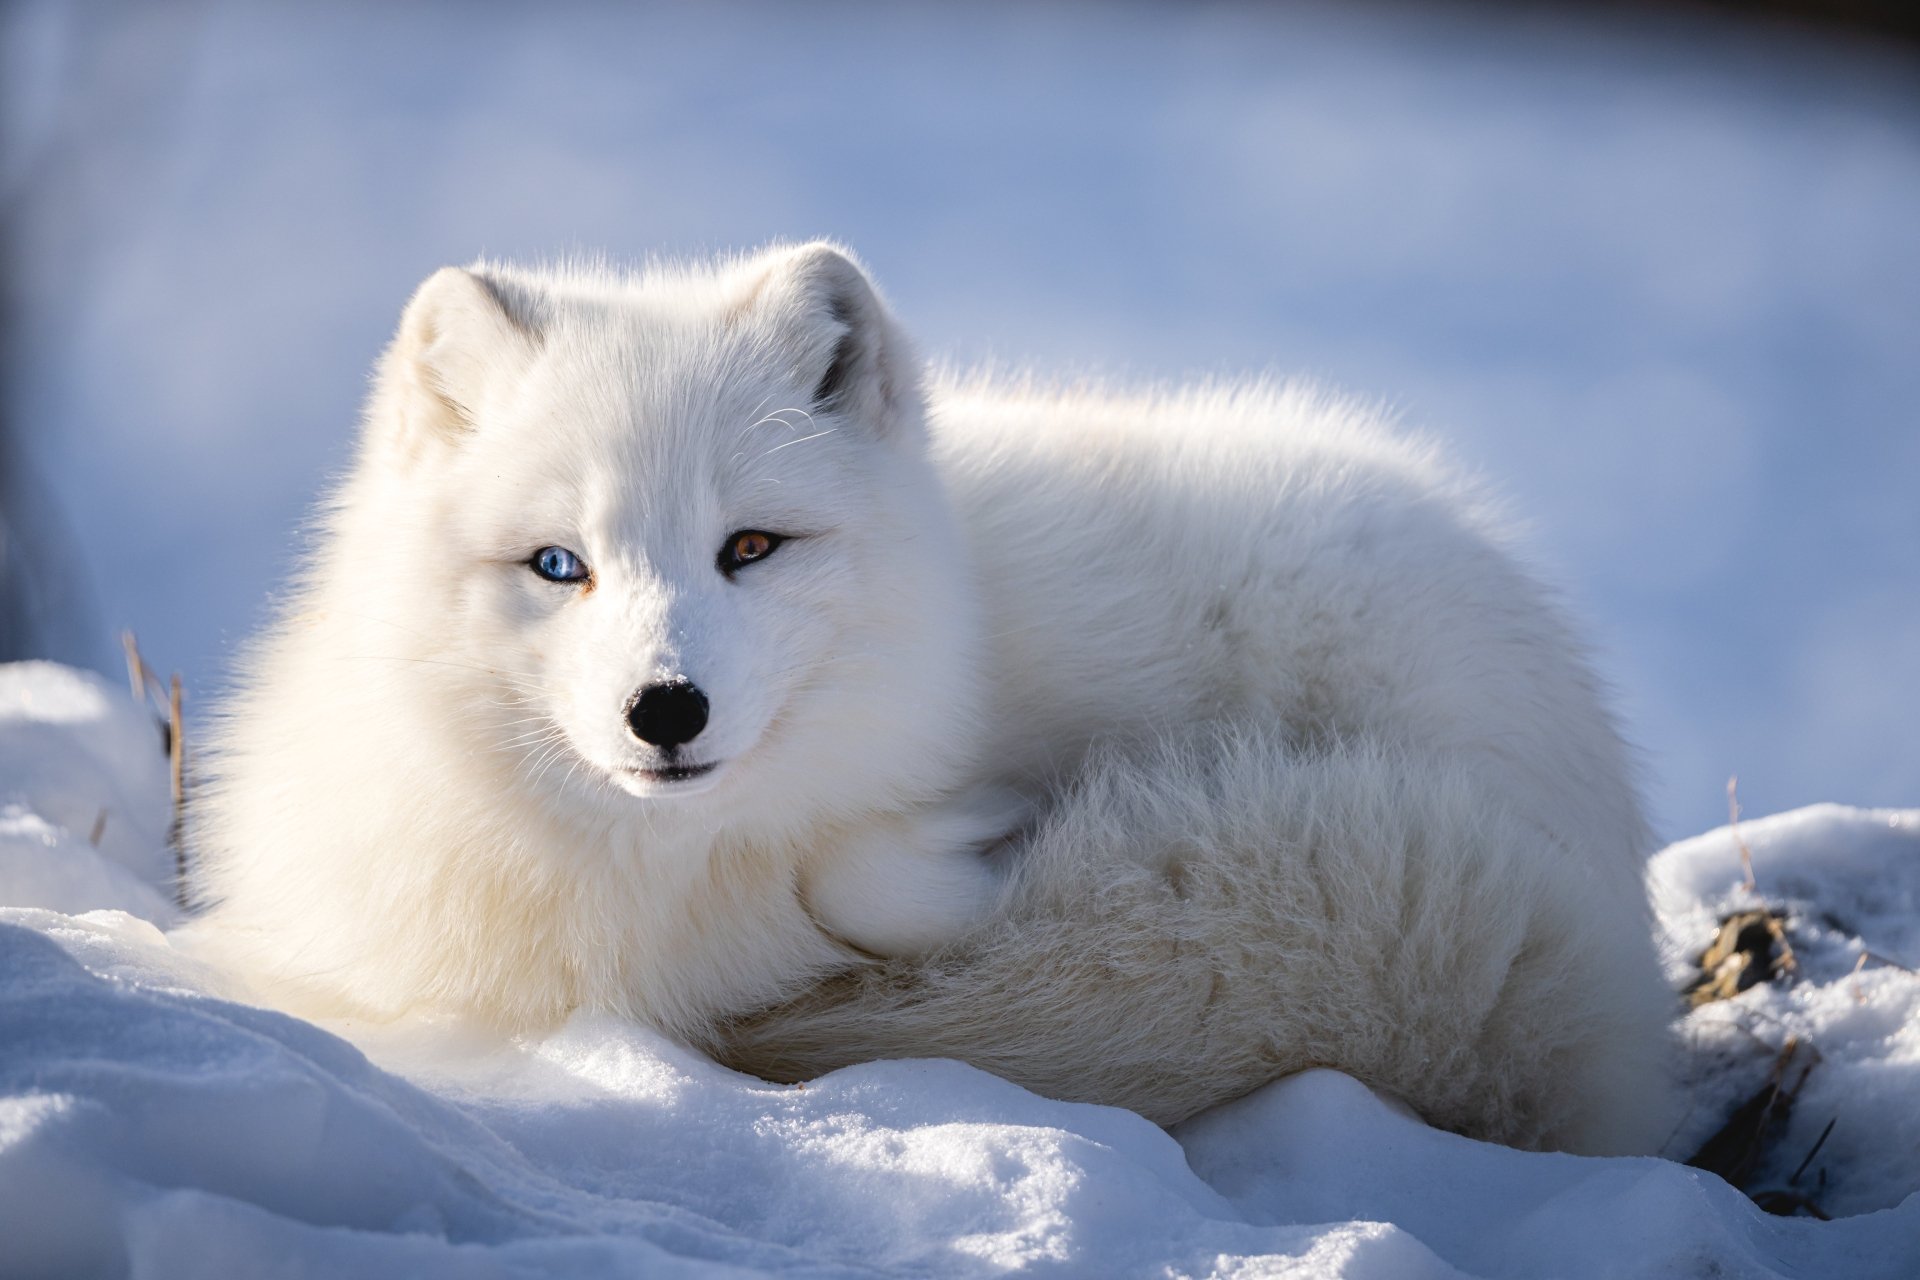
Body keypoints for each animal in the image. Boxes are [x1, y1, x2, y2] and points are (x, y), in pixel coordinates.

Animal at [188, 242, 1677, 1154]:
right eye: (560, 565)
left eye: (751, 546)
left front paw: (974, 845)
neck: (648, 887)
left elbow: (871, 867)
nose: (666, 711)